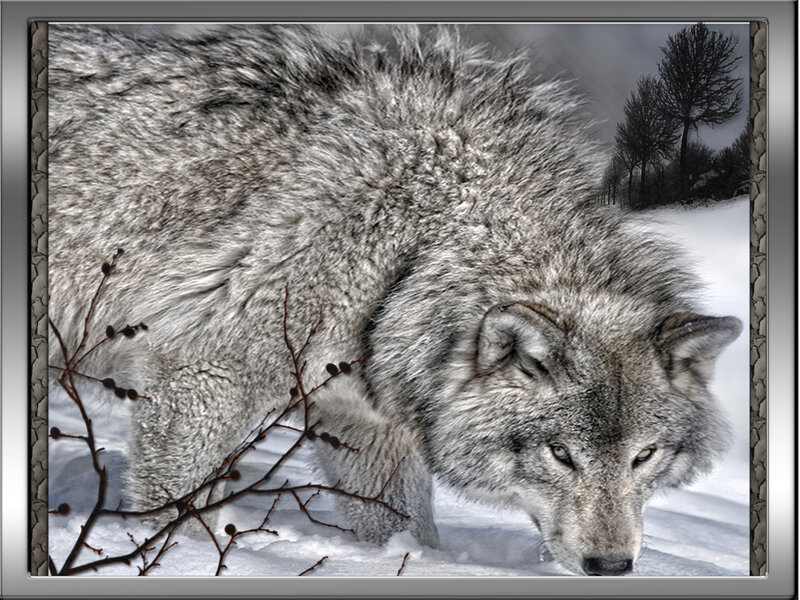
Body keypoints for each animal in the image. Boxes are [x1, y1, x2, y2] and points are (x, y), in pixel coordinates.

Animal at [47, 24, 742, 576]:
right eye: (561, 454)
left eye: (643, 456)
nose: (612, 566)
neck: (414, 246)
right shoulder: (198, 374)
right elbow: (176, 508)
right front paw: (174, 558)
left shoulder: (369, 425)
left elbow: (405, 530)